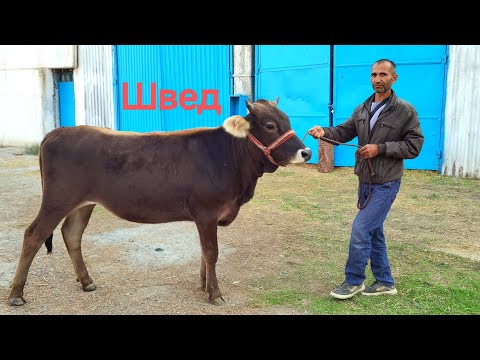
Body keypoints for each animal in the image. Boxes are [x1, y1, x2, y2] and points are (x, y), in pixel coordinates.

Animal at [10, 98, 316, 306]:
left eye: (287, 120)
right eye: (270, 125)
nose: (307, 152)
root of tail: (57, 132)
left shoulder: (206, 217)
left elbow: (205, 252)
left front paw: (203, 285)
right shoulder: (207, 211)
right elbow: (212, 252)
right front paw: (215, 293)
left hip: (83, 203)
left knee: (72, 234)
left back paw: (87, 282)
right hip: (56, 200)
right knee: (33, 235)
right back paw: (16, 294)